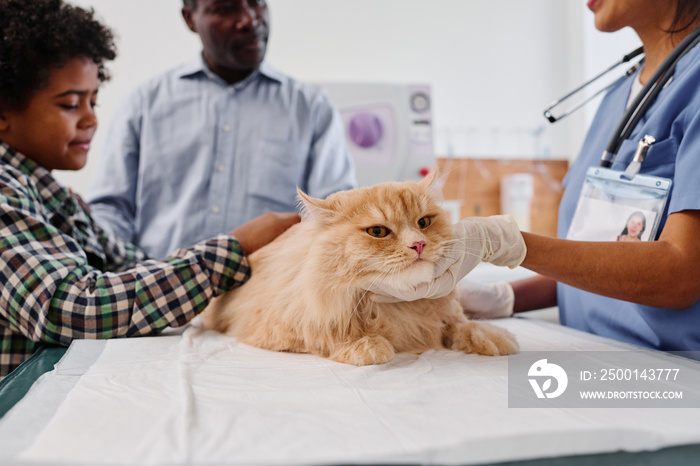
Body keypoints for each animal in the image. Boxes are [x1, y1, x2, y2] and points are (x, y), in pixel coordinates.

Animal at [200, 169, 516, 366]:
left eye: (424, 222)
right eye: (378, 232)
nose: (419, 244)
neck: (395, 308)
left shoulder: (445, 315)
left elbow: (461, 325)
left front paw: (492, 336)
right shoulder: (277, 327)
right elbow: (326, 337)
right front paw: (367, 345)